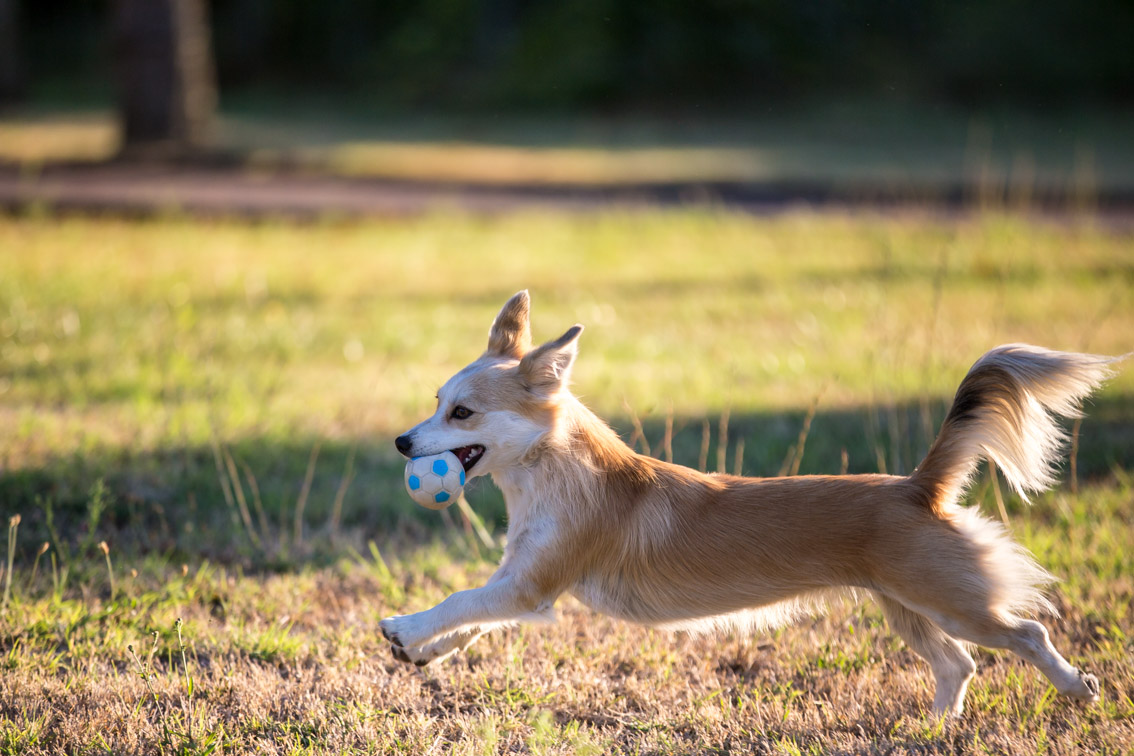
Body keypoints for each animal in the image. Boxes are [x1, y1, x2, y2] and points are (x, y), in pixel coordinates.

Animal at [378, 287, 1115, 716]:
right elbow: (473, 618)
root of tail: (917, 487)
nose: (401, 441)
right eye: (436, 402)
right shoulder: (526, 584)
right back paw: (935, 728)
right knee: (958, 664)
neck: (552, 471)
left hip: (951, 602)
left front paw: (406, 628)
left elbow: (460, 601)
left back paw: (1077, 687)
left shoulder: (531, 584)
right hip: (906, 608)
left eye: (462, 413)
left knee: (1026, 634)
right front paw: (423, 652)